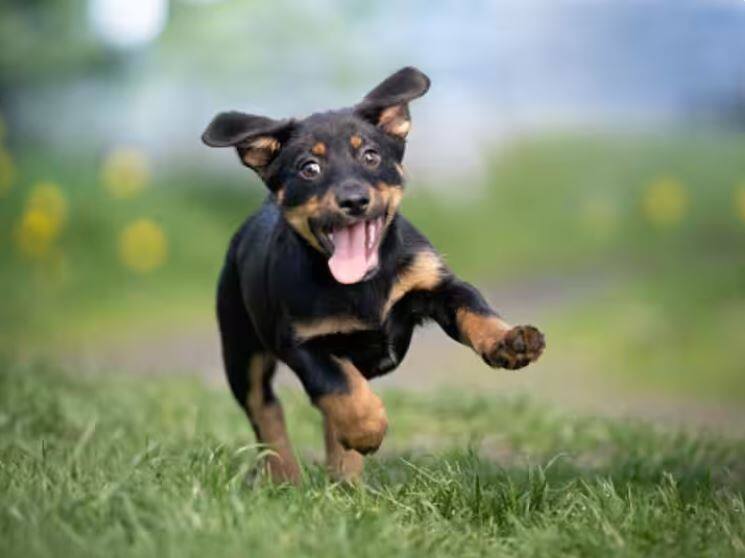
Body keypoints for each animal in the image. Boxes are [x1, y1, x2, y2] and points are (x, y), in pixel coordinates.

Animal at [201, 66, 544, 486]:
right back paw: (287, 475)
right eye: (308, 168)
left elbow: (476, 310)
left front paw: (509, 341)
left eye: (371, 155)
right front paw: (367, 428)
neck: (363, 283)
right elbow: (339, 384)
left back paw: (345, 479)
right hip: (240, 347)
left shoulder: (437, 285)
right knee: (265, 410)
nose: (353, 200)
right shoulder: (300, 340)